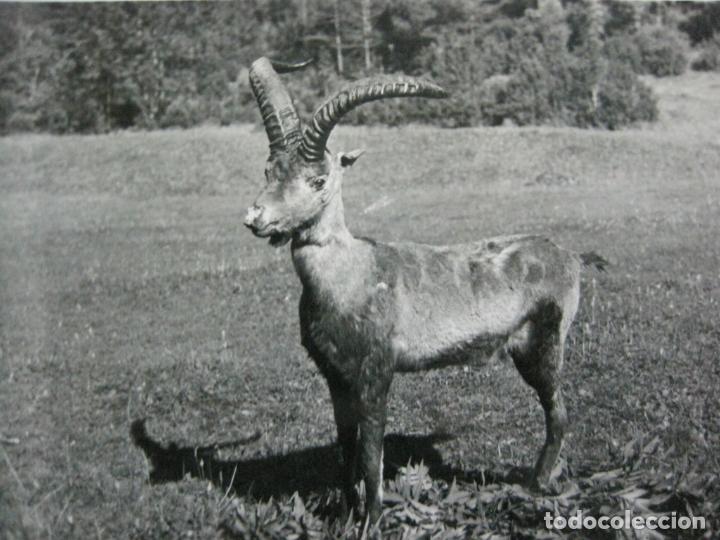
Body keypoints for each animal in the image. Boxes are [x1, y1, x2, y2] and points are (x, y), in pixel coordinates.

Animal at [243, 57, 605, 525]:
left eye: (319, 180)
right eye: (268, 170)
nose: (257, 217)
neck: (353, 274)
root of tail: (571, 256)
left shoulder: (376, 371)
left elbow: (371, 453)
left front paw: (372, 520)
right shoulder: (336, 376)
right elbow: (345, 449)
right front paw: (346, 515)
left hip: (542, 345)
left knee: (558, 412)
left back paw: (536, 485)